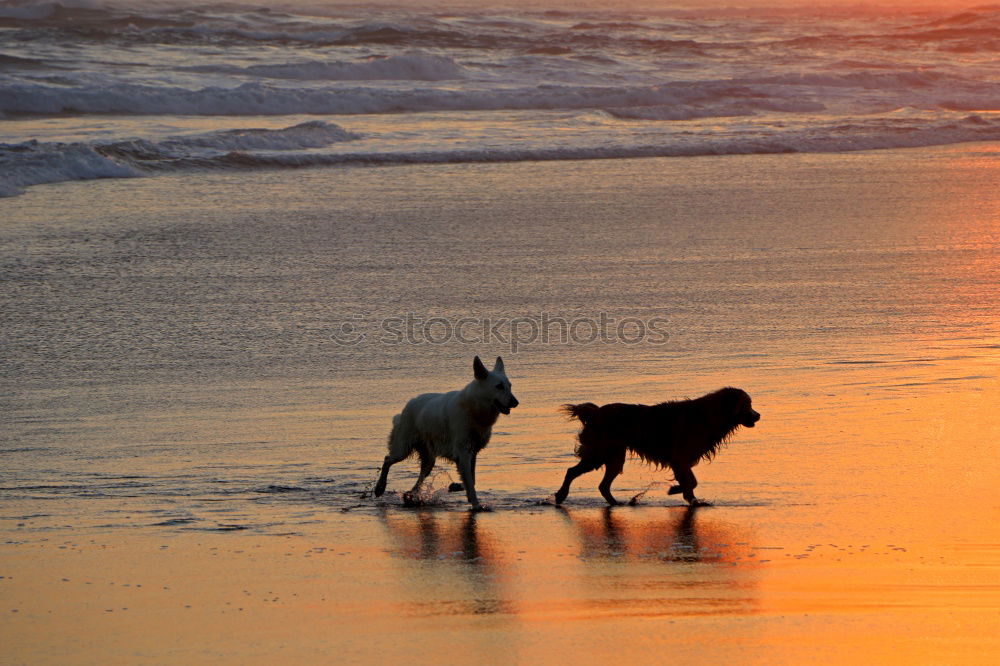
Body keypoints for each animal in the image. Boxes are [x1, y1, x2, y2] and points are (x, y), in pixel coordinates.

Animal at [374, 358, 520, 508]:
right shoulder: (463, 453)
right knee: (387, 459)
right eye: (499, 386)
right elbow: (470, 481)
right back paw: (380, 488)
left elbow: (471, 480)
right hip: (403, 449)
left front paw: (457, 486)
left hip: (429, 459)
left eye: (509, 386)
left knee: (421, 475)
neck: (473, 409)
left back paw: (411, 494)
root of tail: (409, 404)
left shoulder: (472, 452)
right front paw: (476, 505)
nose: (516, 402)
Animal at [556, 386, 756, 506]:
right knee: (572, 471)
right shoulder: (679, 458)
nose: (758, 415)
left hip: (614, 455)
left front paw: (679, 491)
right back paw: (561, 495)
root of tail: (595, 412)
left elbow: (692, 481)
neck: (708, 416)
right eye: (747, 404)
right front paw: (687, 496)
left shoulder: (683, 459)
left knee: (603, 485)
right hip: (599, 452)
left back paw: (617, 503)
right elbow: (690, 482)